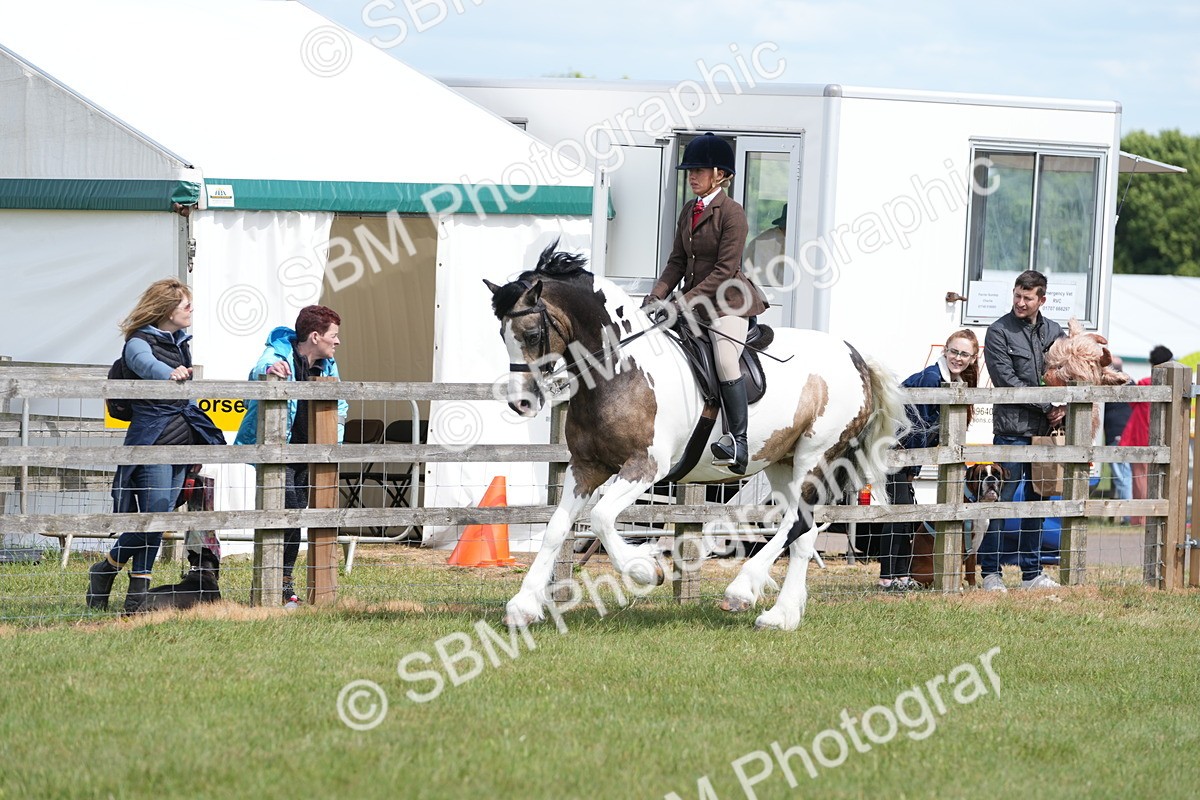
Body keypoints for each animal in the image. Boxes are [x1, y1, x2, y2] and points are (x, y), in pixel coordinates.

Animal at [484, 241, 909, 630]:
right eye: (501, 334)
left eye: (532, 333)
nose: (521, 403)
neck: (620, 370)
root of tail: (855, 355)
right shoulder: (586, 466)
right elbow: (556, 528)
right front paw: (522, 606)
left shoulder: (645, 467)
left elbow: (603, 518)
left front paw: (645, 568)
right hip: (781, 461)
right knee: (801, 530)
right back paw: (782, 615)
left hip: (815, 454)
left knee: (797, 522)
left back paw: (741, 590)